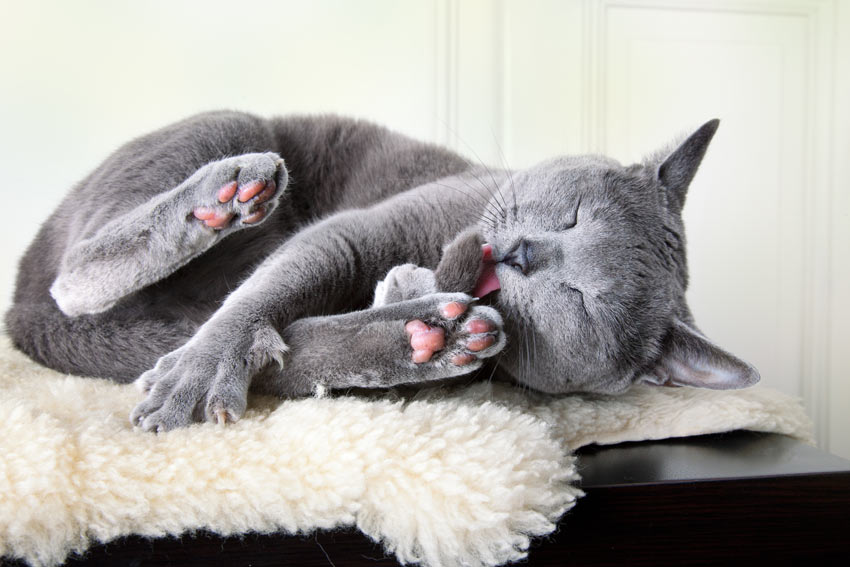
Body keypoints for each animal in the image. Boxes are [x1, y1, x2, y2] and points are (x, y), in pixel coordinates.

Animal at [3, 111, 760, 432]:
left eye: (580, 300)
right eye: (574, 215)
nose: (524, 253)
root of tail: (16, 303)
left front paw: (417, 321)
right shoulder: (360, 231)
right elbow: (266, 296)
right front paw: (200, 370)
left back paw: (427, 334)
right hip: (225, 125)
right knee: (75, 277)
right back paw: (226, 194)